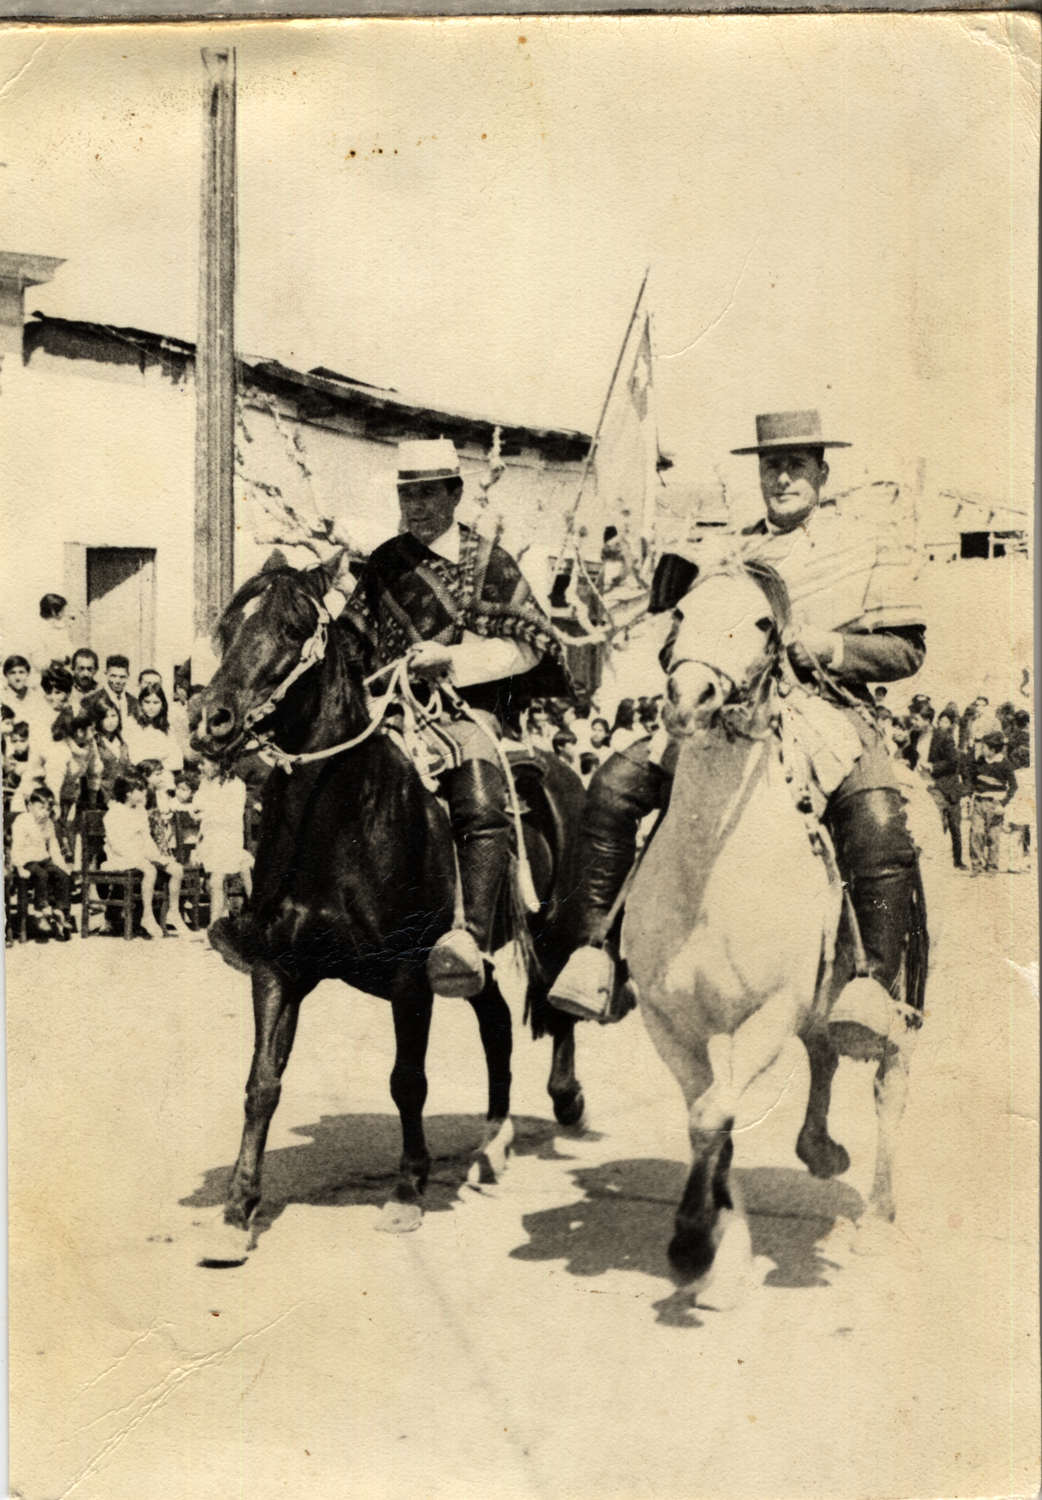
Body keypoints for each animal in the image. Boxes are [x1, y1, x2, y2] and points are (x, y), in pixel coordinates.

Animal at [191, 555, 590, 1266]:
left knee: (554, 1006)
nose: (212, 719)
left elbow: (408, 1080)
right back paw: (492, 1143)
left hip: (554, 928)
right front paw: (236, 1213)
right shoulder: (278, 969)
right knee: (496, 1024)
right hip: (472, 960)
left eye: (291, 626)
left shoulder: (409, 973)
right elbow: (262, 1084)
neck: (342, 819)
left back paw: (564, 1101)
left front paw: (407, 1191)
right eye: (229, 627)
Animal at [623, 567, 917, 1308]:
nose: (688, 698)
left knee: (888, 1086)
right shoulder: (668, 1022)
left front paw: (694, 1244)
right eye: (681, 613)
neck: (711, 874)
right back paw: (819, 1150)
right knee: (825, 1053)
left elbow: (712, 1115)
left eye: (762, 624)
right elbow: (708, 1118)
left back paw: (878, 1219)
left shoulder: (769, 1013)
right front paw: (717, 1248)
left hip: (898, 1004)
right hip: (815, 1004)